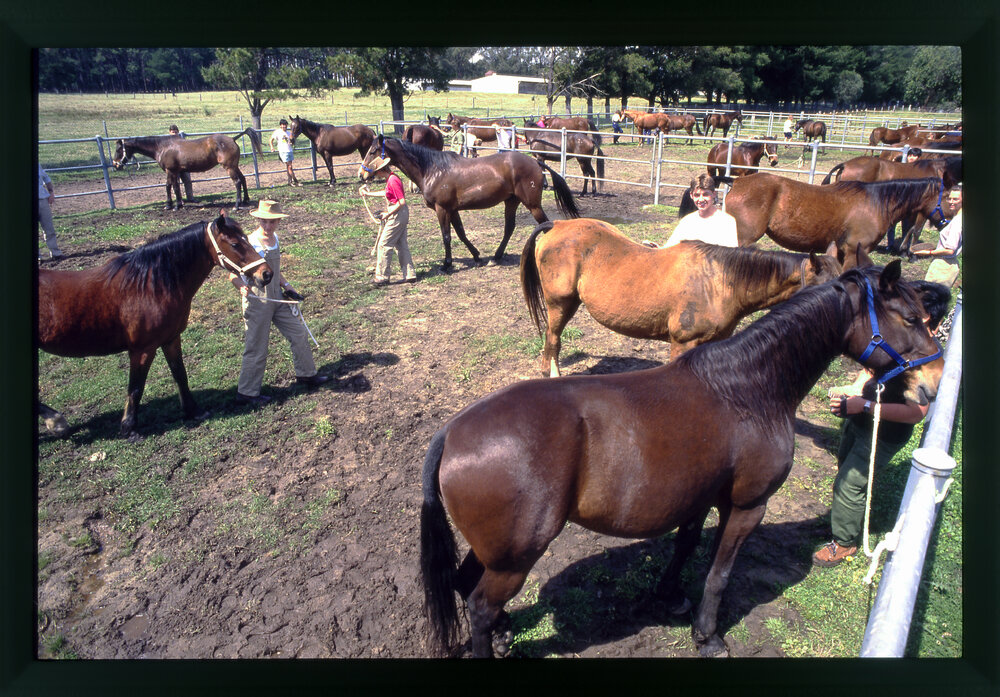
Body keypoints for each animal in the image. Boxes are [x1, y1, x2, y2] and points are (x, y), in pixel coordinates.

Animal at [37, 213, 273, 439]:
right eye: (234, 243)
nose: (266, 274)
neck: (148, 286)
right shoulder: (142, 349)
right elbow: (135, 388)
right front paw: (129, 428)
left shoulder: (171, 339)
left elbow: (180, 374)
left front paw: (193, 411)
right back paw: (57, 422)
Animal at [112, 129, 263, 210]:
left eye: (119, 149)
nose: (115, 165)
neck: (162, 147)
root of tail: (232, 138)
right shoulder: (173, 171)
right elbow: (170, 186)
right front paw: (169, 205)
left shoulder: (171, 171)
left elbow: (174, 187)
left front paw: (176, 206)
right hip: (234, 166)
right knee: (243, 179)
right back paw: (245, 200)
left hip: (229, 167)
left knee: (237, 182)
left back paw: (237, 205)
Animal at [358, 135, 580, 268]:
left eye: (372, 151)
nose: (361, 174)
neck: (432, 170)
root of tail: (535, 162)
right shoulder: (453, 210)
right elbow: (461, 234)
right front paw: (477, 256)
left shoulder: (442, 209)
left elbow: (447, 236)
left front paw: (447, 264)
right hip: (511, 202)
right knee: (509, 228)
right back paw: (495, 258)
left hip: (532, 205)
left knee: (545, 224)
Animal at [421, 260, 944, 658]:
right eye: (911, 318)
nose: (933, 384)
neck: (747, 387)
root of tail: (453, 432)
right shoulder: (746, 506)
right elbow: (718, 574)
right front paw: (707, 636)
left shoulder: (698, 496)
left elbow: (686, 546)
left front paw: (669, 596)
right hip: (516, 558)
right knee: (480, 607)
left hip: (498, 552)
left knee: (467, 584)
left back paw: (505, 632)